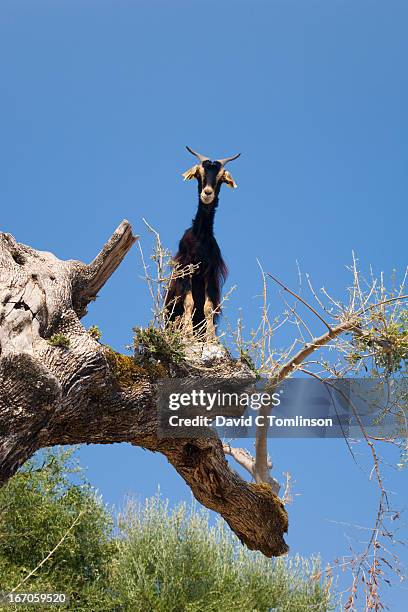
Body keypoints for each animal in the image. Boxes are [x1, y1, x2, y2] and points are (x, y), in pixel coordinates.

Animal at [165, 147, 241, 340]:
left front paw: (211, 337)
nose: (207, 193)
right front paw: (187, 333)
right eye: (199, 174)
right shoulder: (185, 269)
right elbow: (189, 302)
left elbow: (208, 307)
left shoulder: (211, 273)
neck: (199, 240)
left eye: (221, 178)